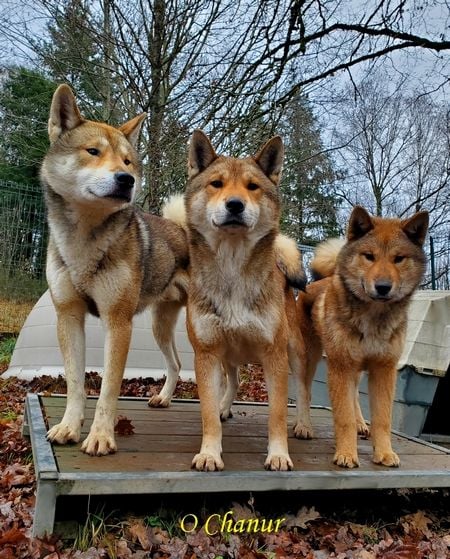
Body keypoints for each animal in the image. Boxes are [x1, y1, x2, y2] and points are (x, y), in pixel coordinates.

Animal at [42, 85, 190, 455]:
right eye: (93, 151)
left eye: (127, 161)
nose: (127, 179)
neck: (85, 239)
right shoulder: (69, 315)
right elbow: (75, 382)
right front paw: (68, 427)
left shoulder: (118, 322)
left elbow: (108, 388)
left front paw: (100, 436)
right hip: (161, 326)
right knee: (177, 364)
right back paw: (165, 399)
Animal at [184, 130, 306, 472]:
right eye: (217, 184)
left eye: (252, 187)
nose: (235, 205)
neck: (232, 270)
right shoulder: (207, 353)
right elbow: (208, 414)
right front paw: (210, 452)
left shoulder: (275, 356)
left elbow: (277, 414)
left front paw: (278, 454)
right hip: (228, 355)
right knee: (234, 381)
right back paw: (225, 406)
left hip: (296, 351)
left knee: (304, 391)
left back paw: (304, 424)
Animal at [295, 206, 429, 468]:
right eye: (369, 256)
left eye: (398, 259)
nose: (383, 287)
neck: (373, 318)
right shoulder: (340, 367)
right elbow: (343, 415)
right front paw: (347, 453)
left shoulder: (383, 370)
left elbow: (383, 418)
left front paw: (384, 453)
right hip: (309, 357)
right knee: (304, 391)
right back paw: (303, 426)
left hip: (356, 367)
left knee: (355, 393)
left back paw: (360, 423)